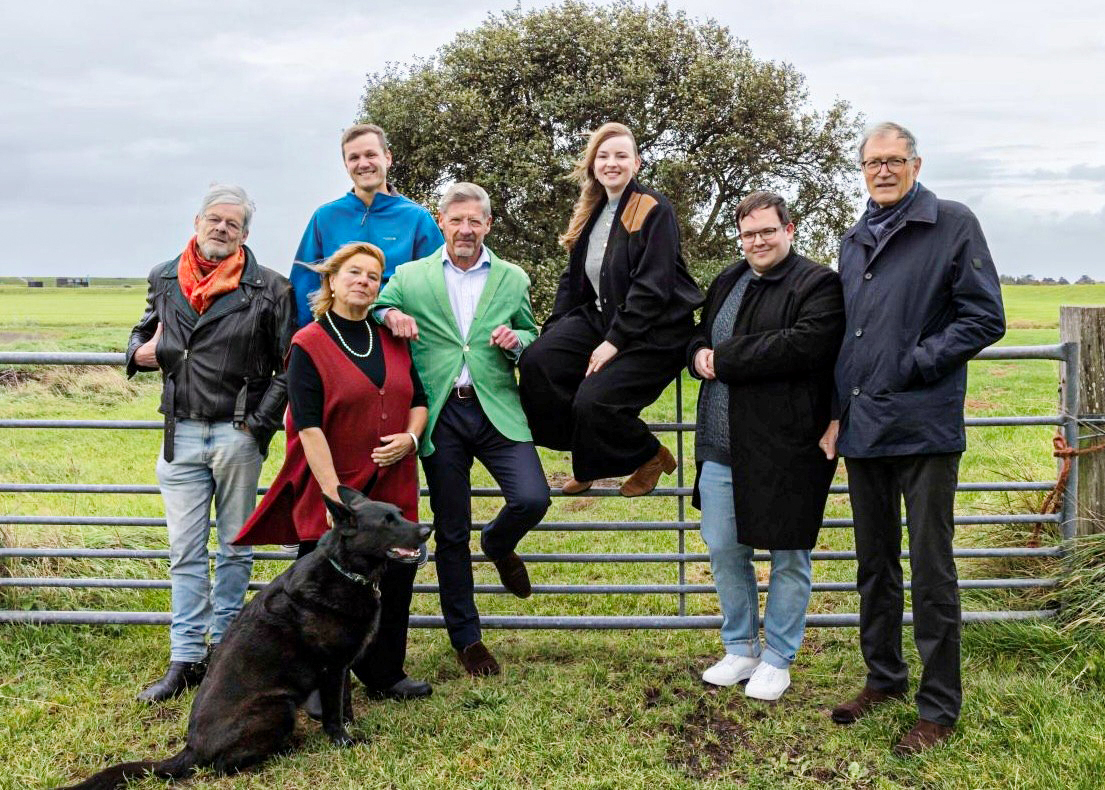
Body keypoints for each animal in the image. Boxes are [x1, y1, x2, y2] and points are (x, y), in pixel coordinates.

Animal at [58, 486, 431, 789]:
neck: (345, 570)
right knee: (222, 766)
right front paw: (343, 740)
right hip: (278, 707)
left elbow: (343, 704)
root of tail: (192, 747)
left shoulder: (340, 668)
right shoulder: (333, 668)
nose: (428, 530)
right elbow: (334, 713)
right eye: (387, 521)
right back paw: (285, 750)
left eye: (399, 513)